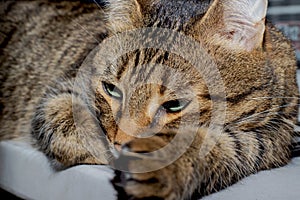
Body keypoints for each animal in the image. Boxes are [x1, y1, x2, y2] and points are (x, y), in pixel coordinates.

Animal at [0, 0, 298, 200]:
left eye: (174, 105)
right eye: (111, 90)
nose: (119, 143)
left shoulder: (273, 137)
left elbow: (222, 147)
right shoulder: (61, 91)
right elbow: (67, 125)